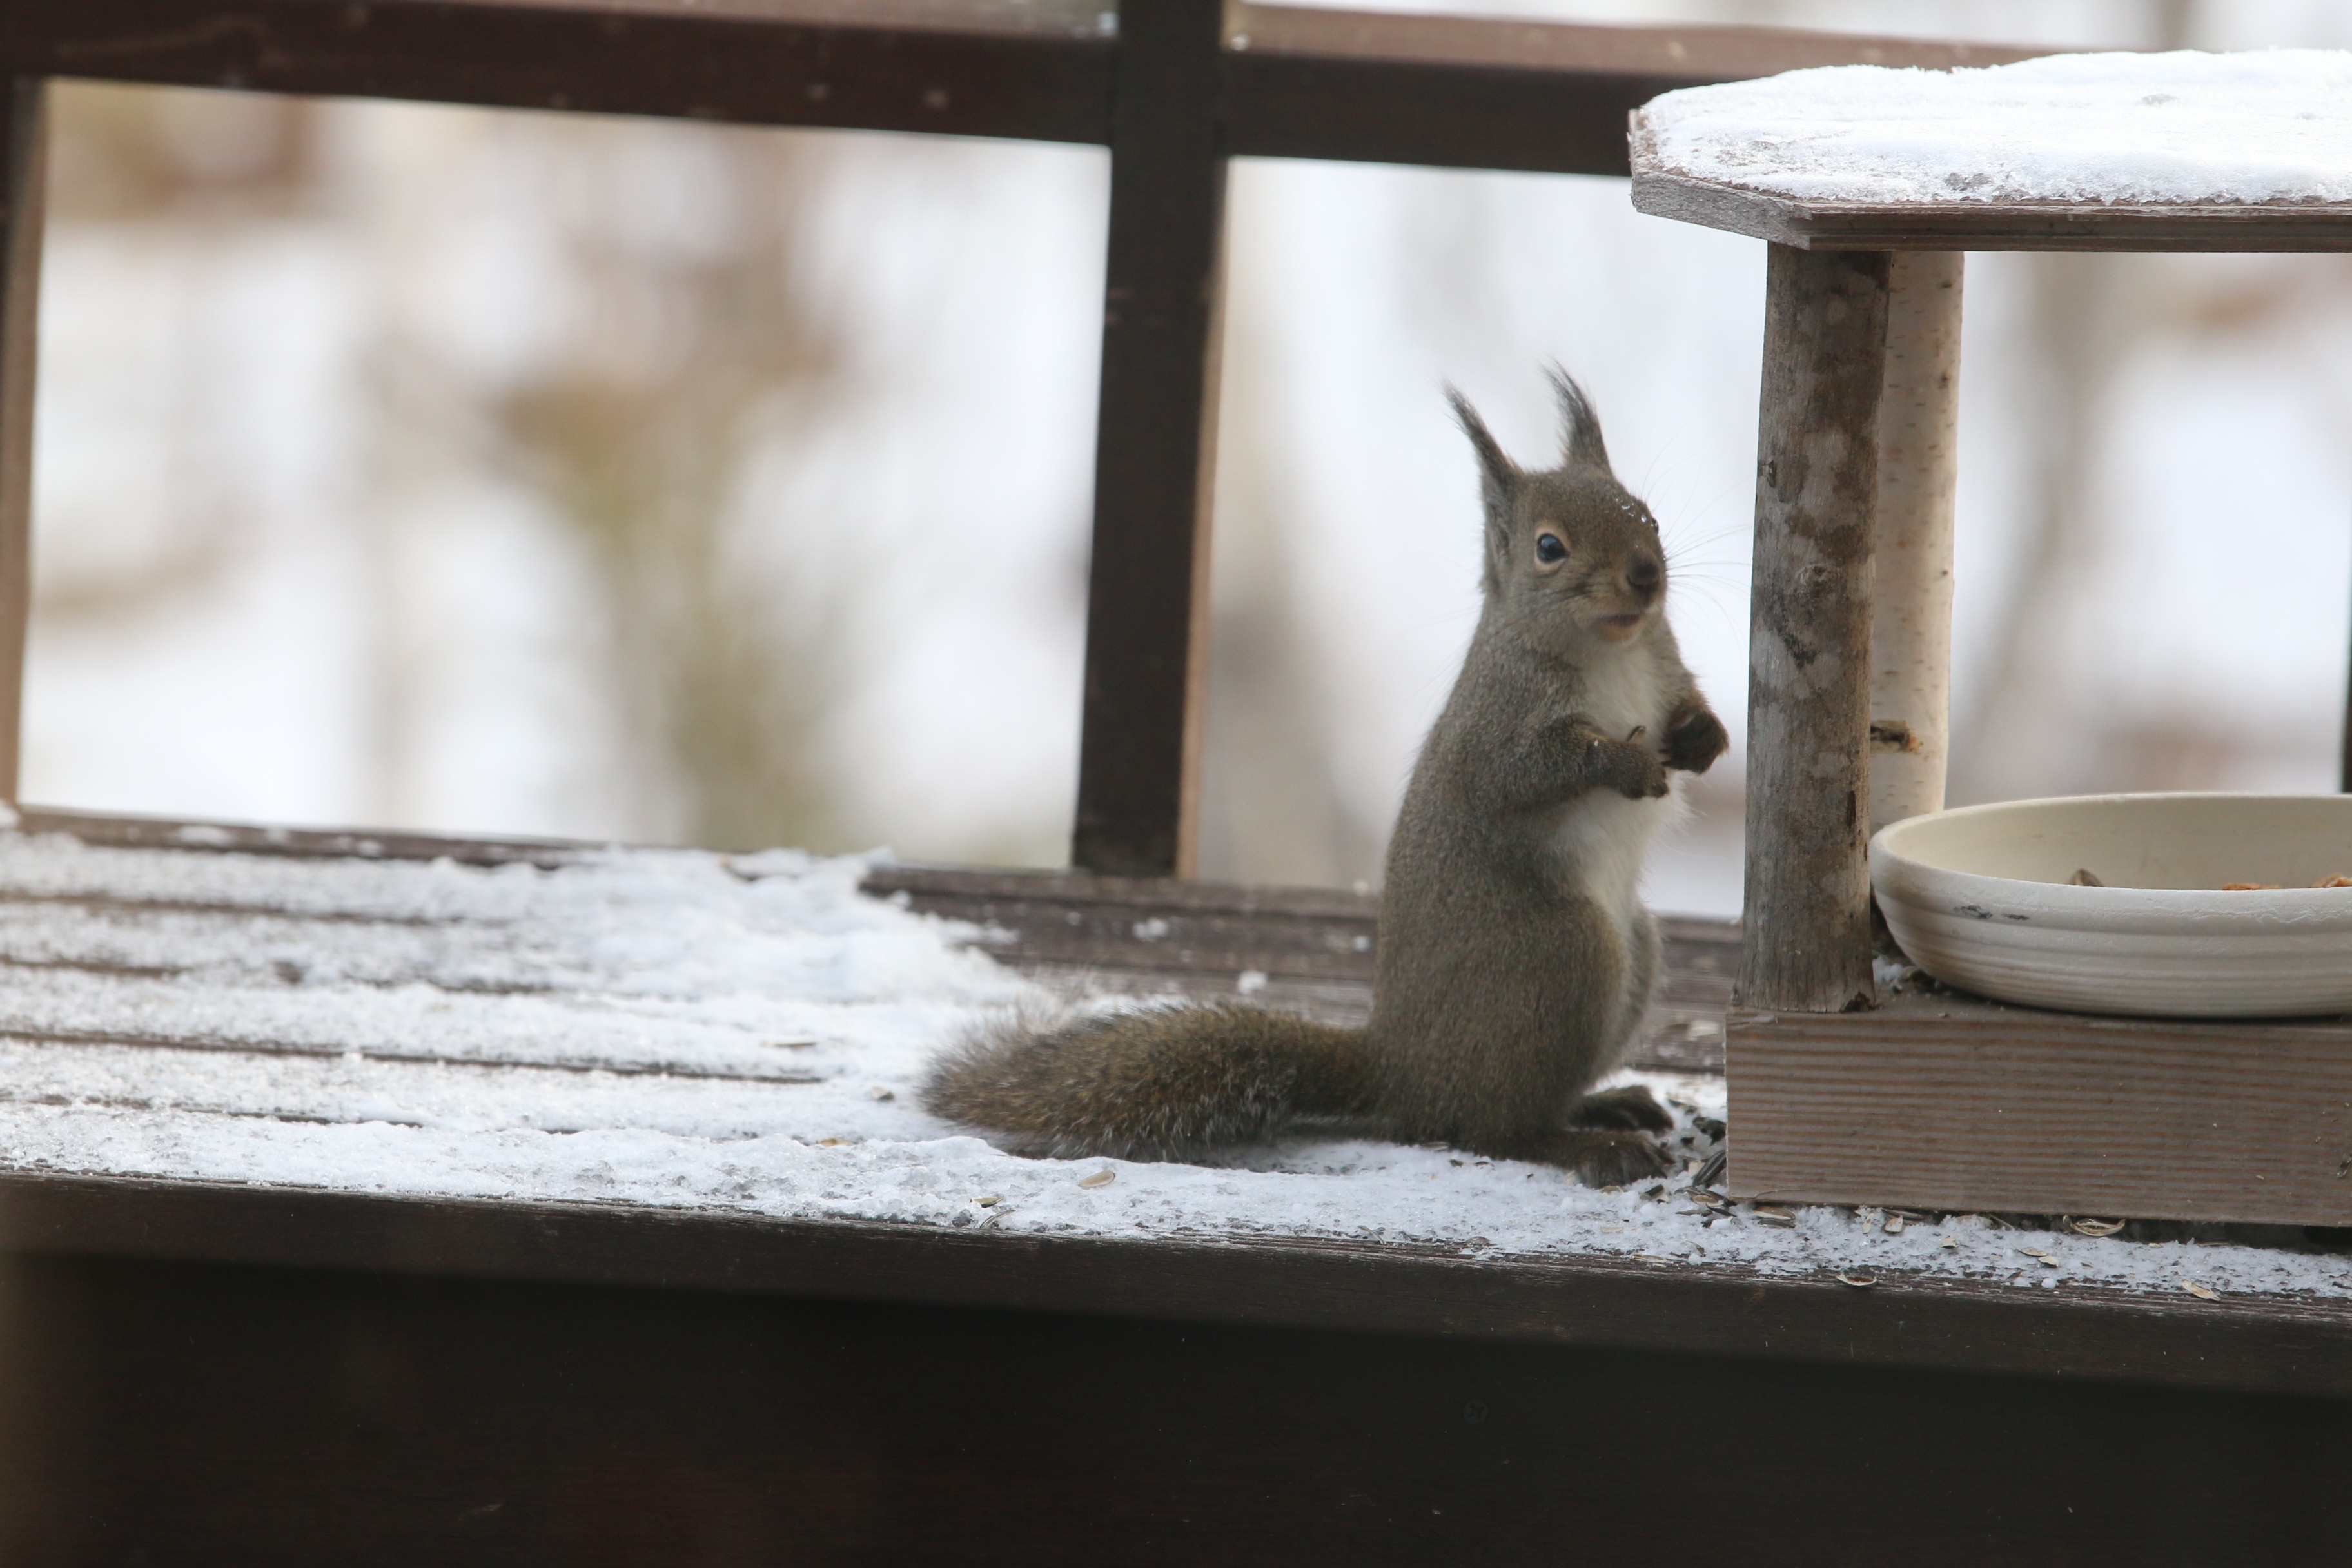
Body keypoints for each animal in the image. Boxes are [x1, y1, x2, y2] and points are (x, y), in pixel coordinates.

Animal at [922, 373, 1730, 1184]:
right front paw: (1628, 762)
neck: (1613, 649)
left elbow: (1683, 702)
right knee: (1491, 1126)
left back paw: (1607, 1104)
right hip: (1563, 957)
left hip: (1633, 949)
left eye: (1647, 513)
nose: (1645, 576)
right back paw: (1583, 1142)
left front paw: (1706, 737)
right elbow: (1529, 772)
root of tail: (1400, 1067)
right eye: (1550, 548)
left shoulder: (1661, 664)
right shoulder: (1498, 726)